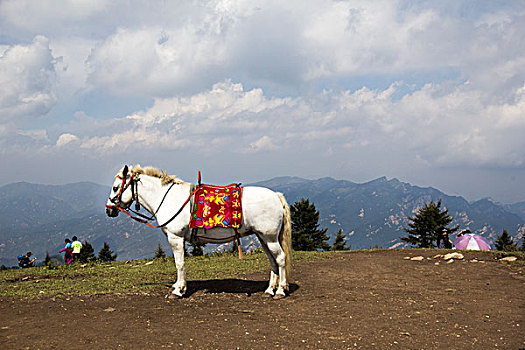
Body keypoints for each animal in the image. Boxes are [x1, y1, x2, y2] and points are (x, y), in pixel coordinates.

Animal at [102, 165, 290, 300]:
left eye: (115, 187)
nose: (109, 210)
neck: (167, 198)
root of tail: (276, 195)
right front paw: (178, 286)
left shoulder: (176, 238)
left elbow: (179, 263)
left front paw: (178, 290)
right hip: (263, 237)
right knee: (272, 261)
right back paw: (269, 290)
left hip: (270, 238)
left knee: (280, 259)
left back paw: (280, 291)